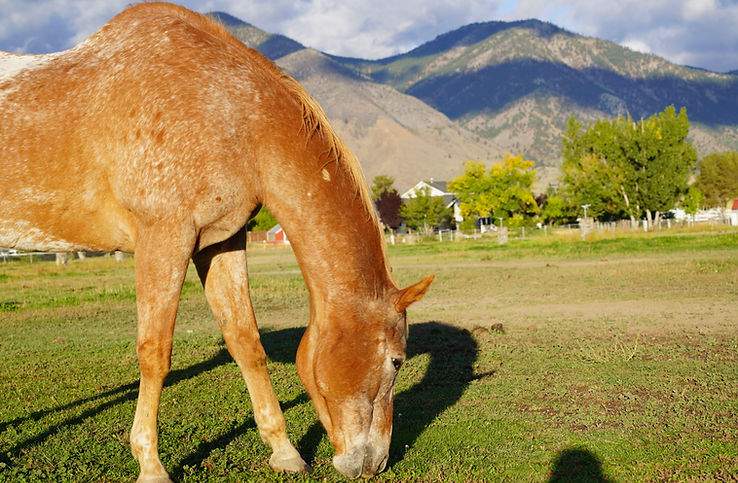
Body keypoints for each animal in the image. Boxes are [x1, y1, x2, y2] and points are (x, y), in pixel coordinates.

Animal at [0, 3, 433, 481]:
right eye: (397, 361)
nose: (375, 462)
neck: (230, 113)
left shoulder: (220, 242)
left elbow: (246, 342)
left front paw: (284, 451)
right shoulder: (164, 238)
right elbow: (155, 353)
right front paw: (151, 464)